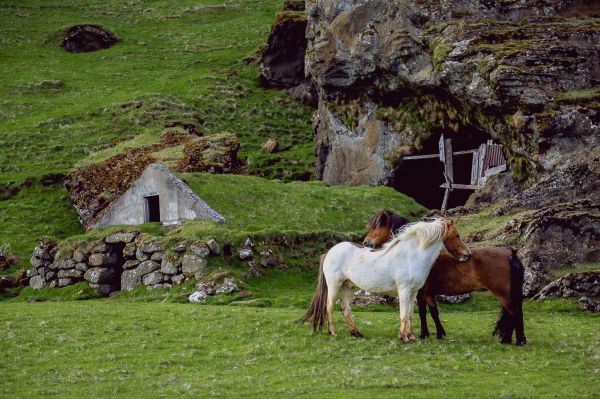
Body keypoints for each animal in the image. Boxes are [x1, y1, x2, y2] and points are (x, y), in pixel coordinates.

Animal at [302, 220, 472, 342]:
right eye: (456, 235)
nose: (468, 255)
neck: (411, 256)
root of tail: (329, 252)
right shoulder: (404, 291)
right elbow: (403, 314)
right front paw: (403, 337)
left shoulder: (413, 292)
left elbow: (410, 314)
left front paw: (411, 336)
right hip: (334, 285)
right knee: (329, 307)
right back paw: (333, 332)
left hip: (348, 287)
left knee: (345, 309)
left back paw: (356, 333)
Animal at [360, 211, 524, 346]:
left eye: (377, 227)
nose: (365, 243)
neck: (416, 253)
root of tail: (510, 254)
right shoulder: (428, 293)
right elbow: (433, 312)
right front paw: (439, 334)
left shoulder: (421, 293)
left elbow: (423, 312)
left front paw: (424, 334)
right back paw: (512, 339)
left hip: (502, 294)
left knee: (513, 312)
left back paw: (513, 340)